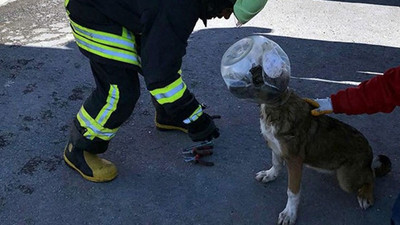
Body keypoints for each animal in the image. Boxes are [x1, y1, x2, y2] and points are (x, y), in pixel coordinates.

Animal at [252, 69, 392, 224]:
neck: (276, 108)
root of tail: (370, 154)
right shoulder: (274, 145)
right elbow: (276, 164)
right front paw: (269, 175)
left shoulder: (294, 160)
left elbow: (292, 192)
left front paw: (289, 213)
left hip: (346, 179)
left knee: (371, 176)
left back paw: (365, 195)